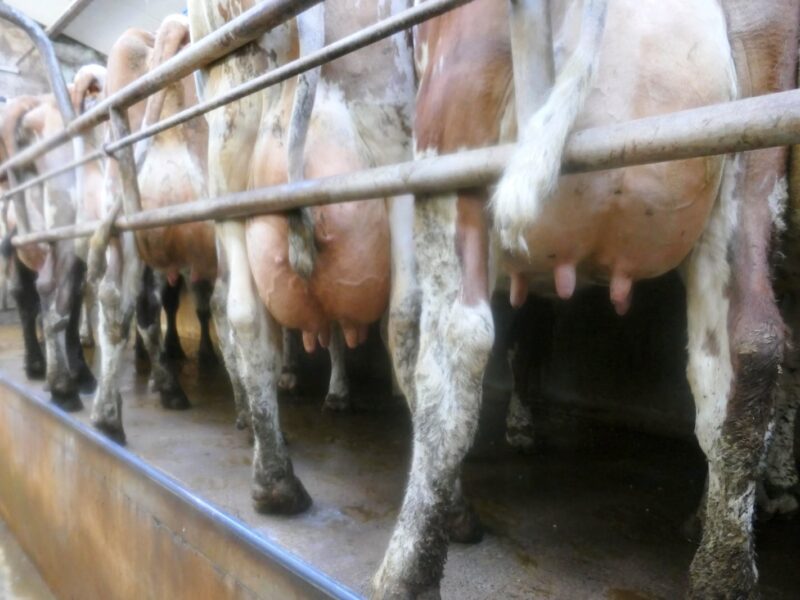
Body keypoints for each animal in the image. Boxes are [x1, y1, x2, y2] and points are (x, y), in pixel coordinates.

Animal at [373, 0, 799, 598]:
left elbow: (406, 328)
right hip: (750, 163)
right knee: (747, 348)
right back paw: (721, 571)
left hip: (452, 139)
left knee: (455, 345)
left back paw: (405, 571)